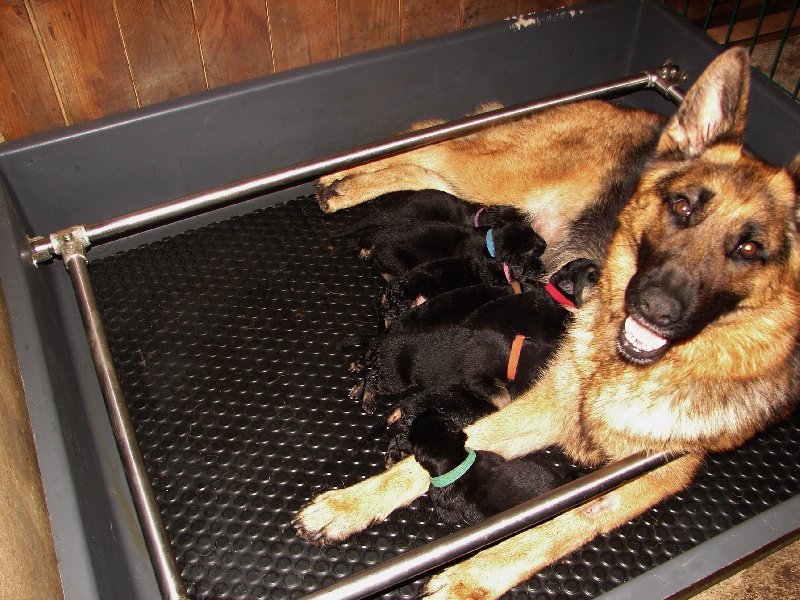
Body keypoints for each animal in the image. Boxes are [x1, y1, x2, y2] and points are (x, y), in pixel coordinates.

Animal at [292, 48, 800, 600]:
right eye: (680, 207)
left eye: (749, 249)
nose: (654, 306)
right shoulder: (546, 401)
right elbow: (427, 462)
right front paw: (350, 504)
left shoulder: (653, 472)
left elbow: (569, 521)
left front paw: (476, 576)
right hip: (494, 173)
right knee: (433, 143)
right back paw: (350, 174)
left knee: (428, 165)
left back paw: (345, 185)